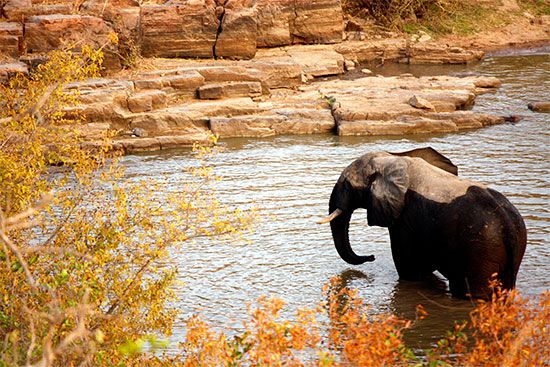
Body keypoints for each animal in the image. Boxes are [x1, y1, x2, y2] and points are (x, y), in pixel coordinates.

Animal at [322, 147, 528, 300]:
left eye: (347, 185)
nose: (371, 257)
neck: (393, 160)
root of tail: (508, 226)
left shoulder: (405, 217)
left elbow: (409, 268)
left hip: (481, 249)